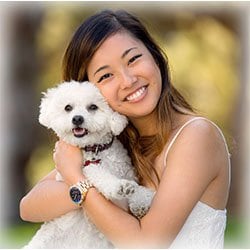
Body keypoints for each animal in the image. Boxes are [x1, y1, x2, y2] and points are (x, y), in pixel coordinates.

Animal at [24, 80, 154, 248]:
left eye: (93, 107)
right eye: (68, 108)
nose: (77, 119)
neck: (94, 149)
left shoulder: (128, 173)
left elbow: (140, 188)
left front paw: (141, 200)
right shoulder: (79, 171)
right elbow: (96, 173)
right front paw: (119, 186)